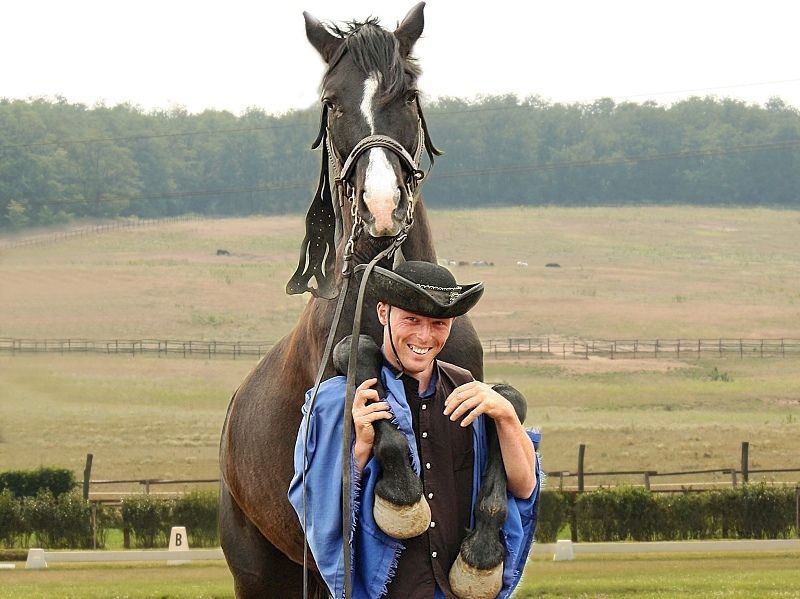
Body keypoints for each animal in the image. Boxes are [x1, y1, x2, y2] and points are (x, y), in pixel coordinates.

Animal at [219, 5, 521, 597]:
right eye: (332, 101)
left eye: (408, 94)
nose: (381, 207)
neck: (385, 283)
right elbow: (357, 359)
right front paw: (400, 498)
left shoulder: (467, 377)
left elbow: (505, 401)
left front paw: (482, 554)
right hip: (264, 574)